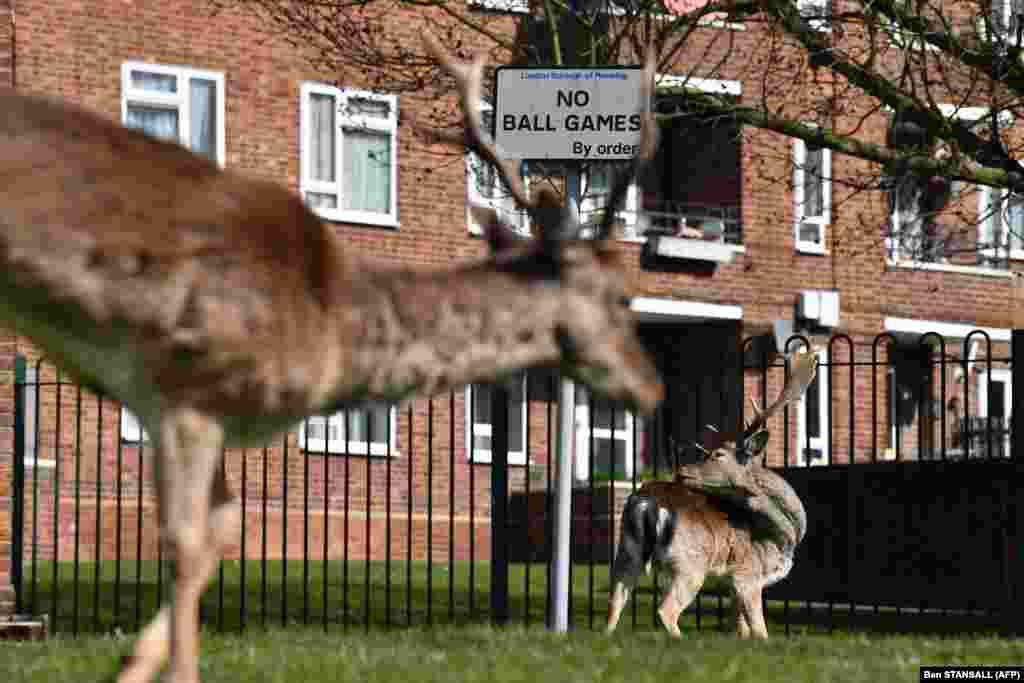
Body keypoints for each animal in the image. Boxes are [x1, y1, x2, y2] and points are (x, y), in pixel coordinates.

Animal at [0, 33, 663, 683]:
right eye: (620, 297)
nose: (653, 388)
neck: (333, 334)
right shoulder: (185, 390)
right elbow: (184, 544)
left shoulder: (221, 415)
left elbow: (225, 529)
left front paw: (131, 664)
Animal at [602, 350, 819, 638]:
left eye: (717, 455)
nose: (681, 471)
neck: (782, 535)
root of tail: (647, 503)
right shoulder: (747, 574)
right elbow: (760, 632)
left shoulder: (731, 582)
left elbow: (742, 630)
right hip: (690, 563)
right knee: (666, 610)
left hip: (627, 550)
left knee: (615, 602)